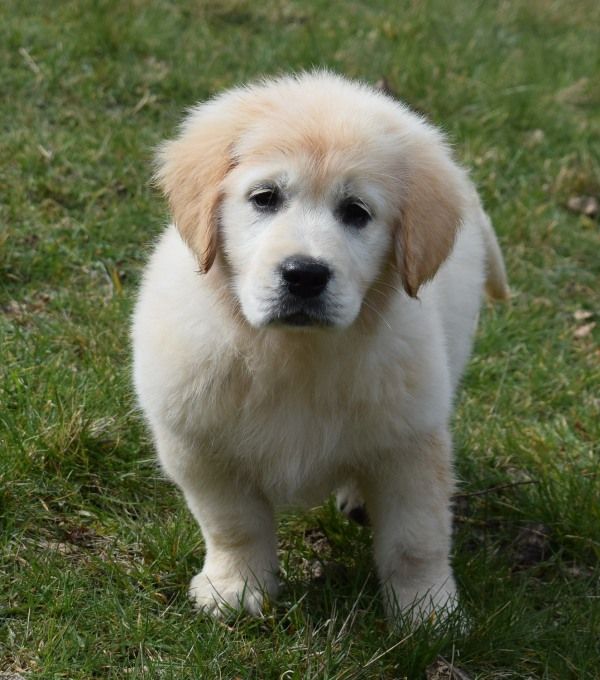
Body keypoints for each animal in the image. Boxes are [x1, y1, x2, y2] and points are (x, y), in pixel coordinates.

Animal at [132, 71, 508, 626]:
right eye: (265, 197)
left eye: (356, 212)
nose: (304, 275)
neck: (295, 352)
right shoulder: (201, 447)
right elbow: (233, 525)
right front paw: (237, 588)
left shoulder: (410, 443)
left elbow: (415, 540)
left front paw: (428, 612)